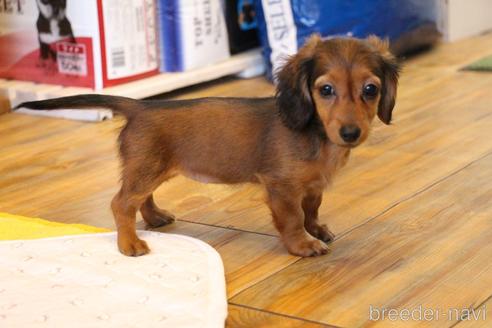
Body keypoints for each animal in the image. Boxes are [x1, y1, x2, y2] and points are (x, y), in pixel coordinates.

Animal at [16, 34, 400, 258]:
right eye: (325, 90)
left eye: (370, 89)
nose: (351, 132)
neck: (317, 135)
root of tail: (140, 106)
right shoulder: (281, 187)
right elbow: (292, 219)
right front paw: (303, 244)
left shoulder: (312, 186)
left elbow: (312, 209)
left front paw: (316, 229)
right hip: (146, 169)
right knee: (121, 203)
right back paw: (129, 244)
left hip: (151, 169)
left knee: (141, 199)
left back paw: (155, 218)